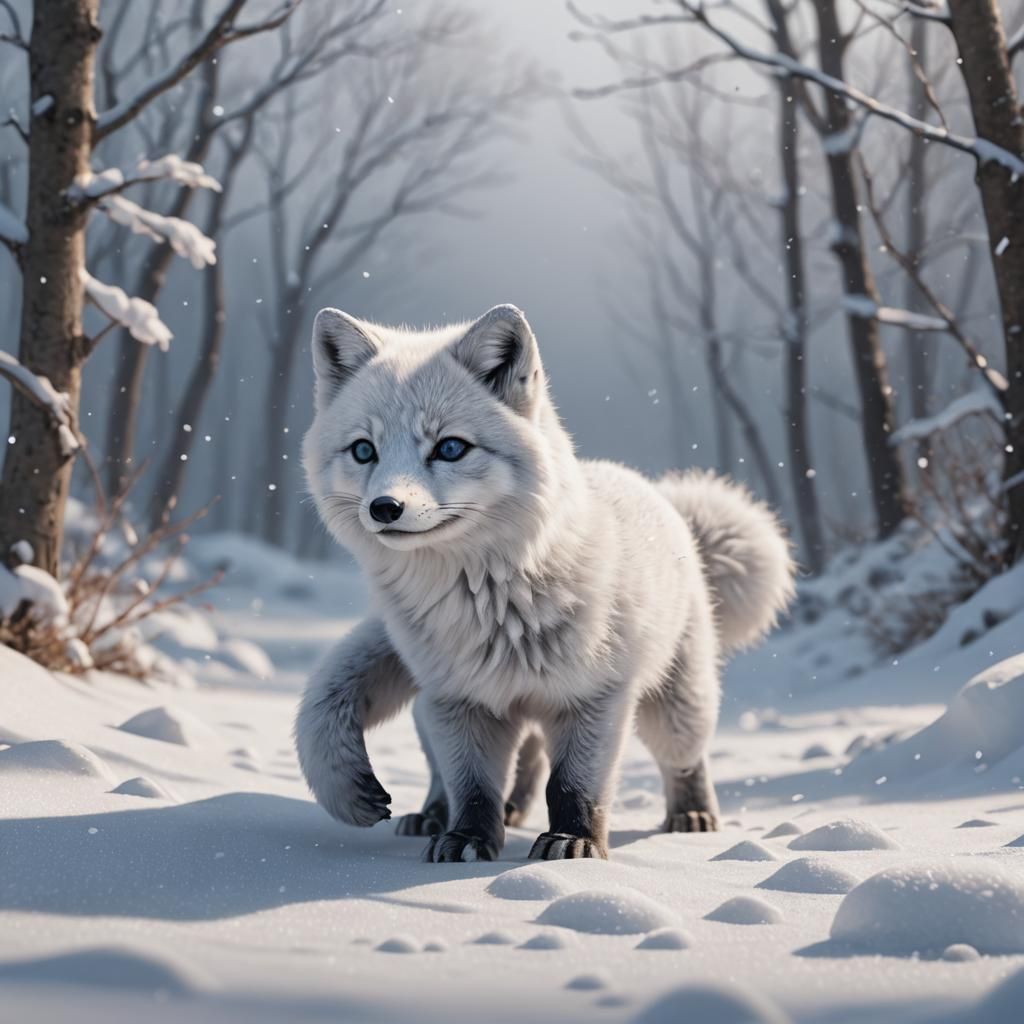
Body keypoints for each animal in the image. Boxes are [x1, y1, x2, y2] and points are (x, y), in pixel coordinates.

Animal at [296, 303, 795, 862]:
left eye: (450, 448)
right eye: (364, 451)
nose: (385, 508)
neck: (492, 603)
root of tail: (664, 497)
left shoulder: (595, 698)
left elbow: (573, 786)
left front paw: (574, 841)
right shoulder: (459, 700)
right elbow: (472, 786)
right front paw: (467, 839)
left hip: (673, 711)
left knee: (684, 758)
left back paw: (692, 816)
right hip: (446, 710)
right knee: (490, 767)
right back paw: (437, 816)